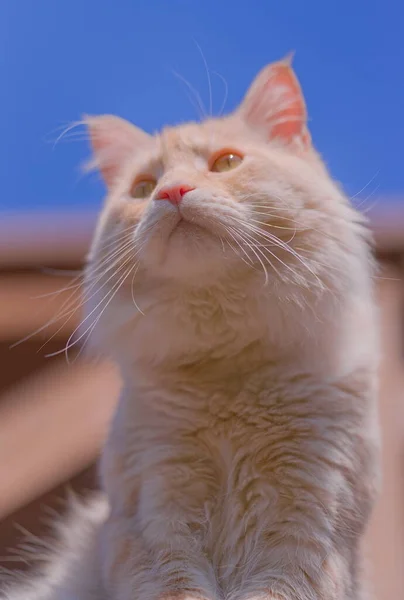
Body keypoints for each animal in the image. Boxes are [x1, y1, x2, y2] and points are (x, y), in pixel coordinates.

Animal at [3, 59, 382, 600]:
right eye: (143, 188)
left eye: (226, 163)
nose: (171, 193)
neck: (229, 374)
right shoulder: (154, 515)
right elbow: (177, 585)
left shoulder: (307, 520)